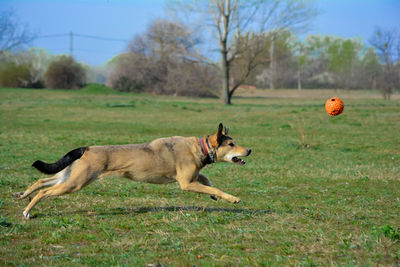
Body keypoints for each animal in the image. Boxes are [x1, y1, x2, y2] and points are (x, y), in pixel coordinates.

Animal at [16, 123, 253, 220]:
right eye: (231, 144)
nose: (249, 150)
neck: (200, 147)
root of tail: (87, 148)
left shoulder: (192, 177)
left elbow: (207, 179)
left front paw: (213, 194)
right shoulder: (186, 183)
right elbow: (213, 187)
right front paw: (232, 198)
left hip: (69, 176)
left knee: (40, 182)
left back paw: (22, 194)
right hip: (76, 182)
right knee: (44, 191)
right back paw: (27, 211)